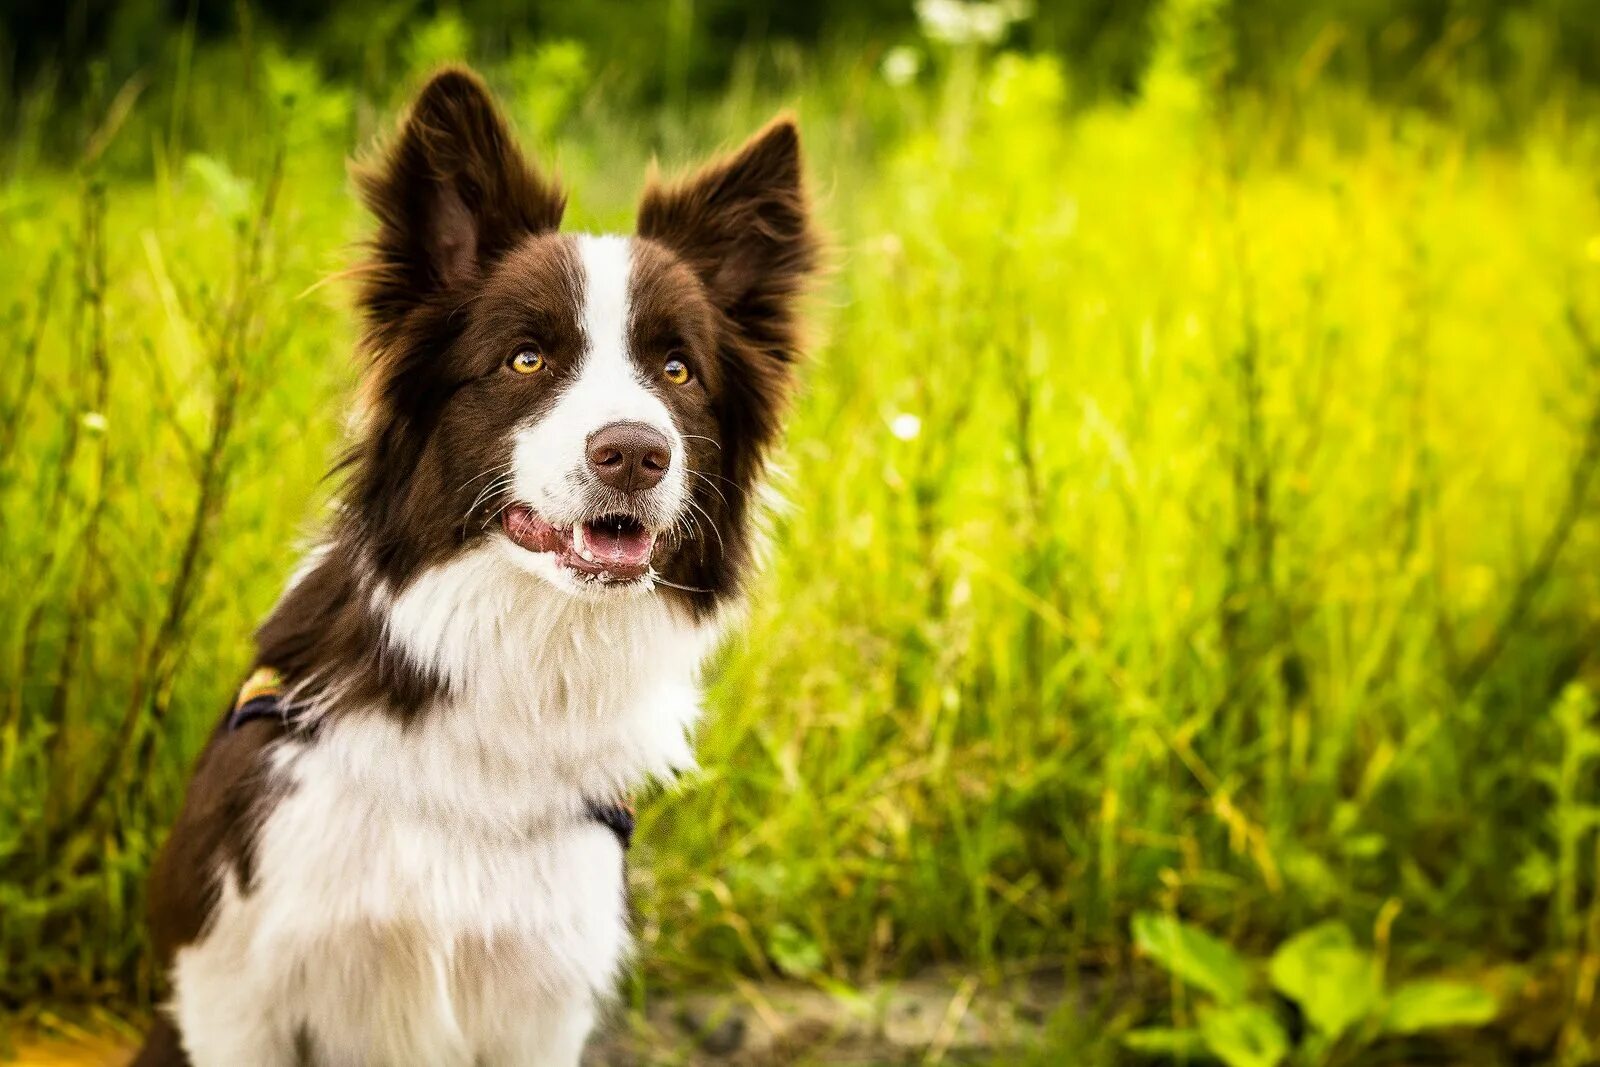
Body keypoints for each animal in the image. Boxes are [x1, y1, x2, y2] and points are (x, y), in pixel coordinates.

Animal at [131, 68, 819, 1067]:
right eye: (526, 357)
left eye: (678, 371)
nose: (635, 452)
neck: (517, 672)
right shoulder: (233, 978)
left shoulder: (542, 1000)